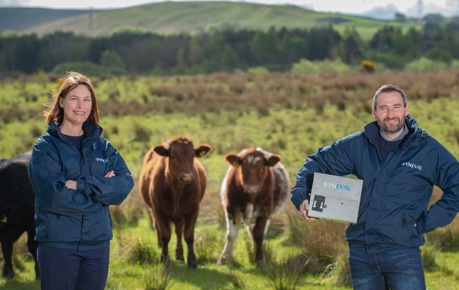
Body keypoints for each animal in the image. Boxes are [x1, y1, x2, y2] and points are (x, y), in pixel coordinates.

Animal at [140, 136, 212, 270]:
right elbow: (165, 235)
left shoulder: (193, 209)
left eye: (193, 155)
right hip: (152, 209)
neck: (176, 191)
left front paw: (192, 260)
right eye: (173, 156)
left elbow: (188, 235)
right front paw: (164, 258)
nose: (187, 176)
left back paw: (179, 253)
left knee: (178, 231)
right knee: (158, 227)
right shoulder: (158, 209)